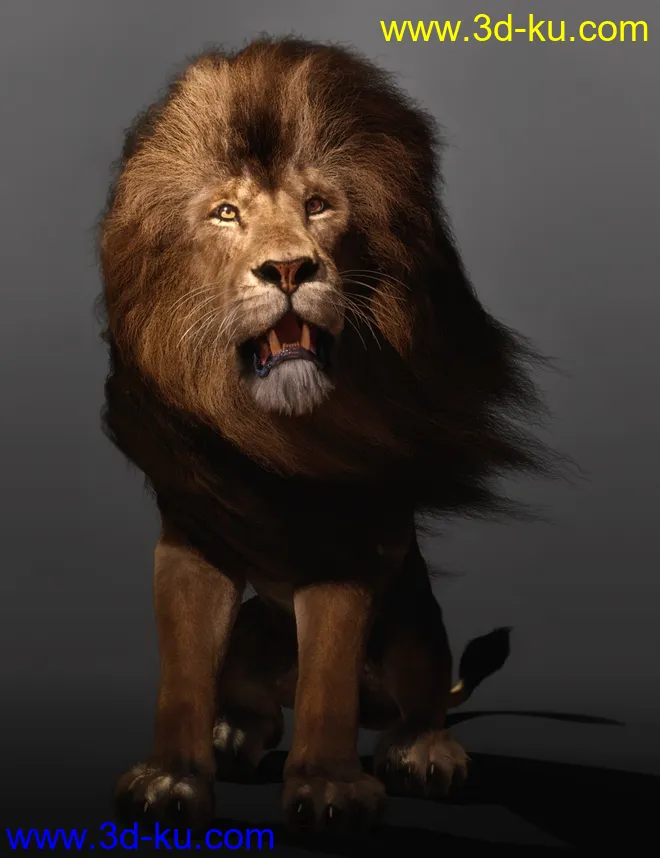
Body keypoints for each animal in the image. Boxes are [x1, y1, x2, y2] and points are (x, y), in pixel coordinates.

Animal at [98, 37, 557, 835]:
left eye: (317, 206)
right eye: (226, 213)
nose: (288, 268)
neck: (280, 433)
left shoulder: (351, 544)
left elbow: (328, 681)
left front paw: (329, 789)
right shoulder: (192, 539)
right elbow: (183, 673)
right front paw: (170, 778)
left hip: (413, 630)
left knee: (416, 700)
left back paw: (424, 753)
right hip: (253, 638)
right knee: (253, 696)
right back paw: (234, 734)